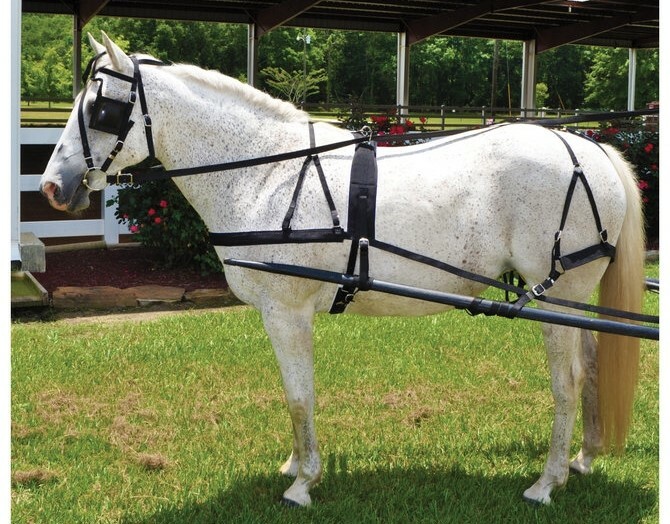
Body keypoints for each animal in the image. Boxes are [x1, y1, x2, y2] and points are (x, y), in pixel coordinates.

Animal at [40, 33, 645, 507]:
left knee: (567, 383)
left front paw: (303, 482)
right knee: (590, 369)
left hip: (557, 297)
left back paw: (547, 482)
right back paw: (582, 461)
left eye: (100, 111)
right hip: (572, 300)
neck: (268, 174)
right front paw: (294, 465)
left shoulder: (286, 311)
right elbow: (295, 394)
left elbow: (298, 395)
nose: (51, 187)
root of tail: (588, 149)